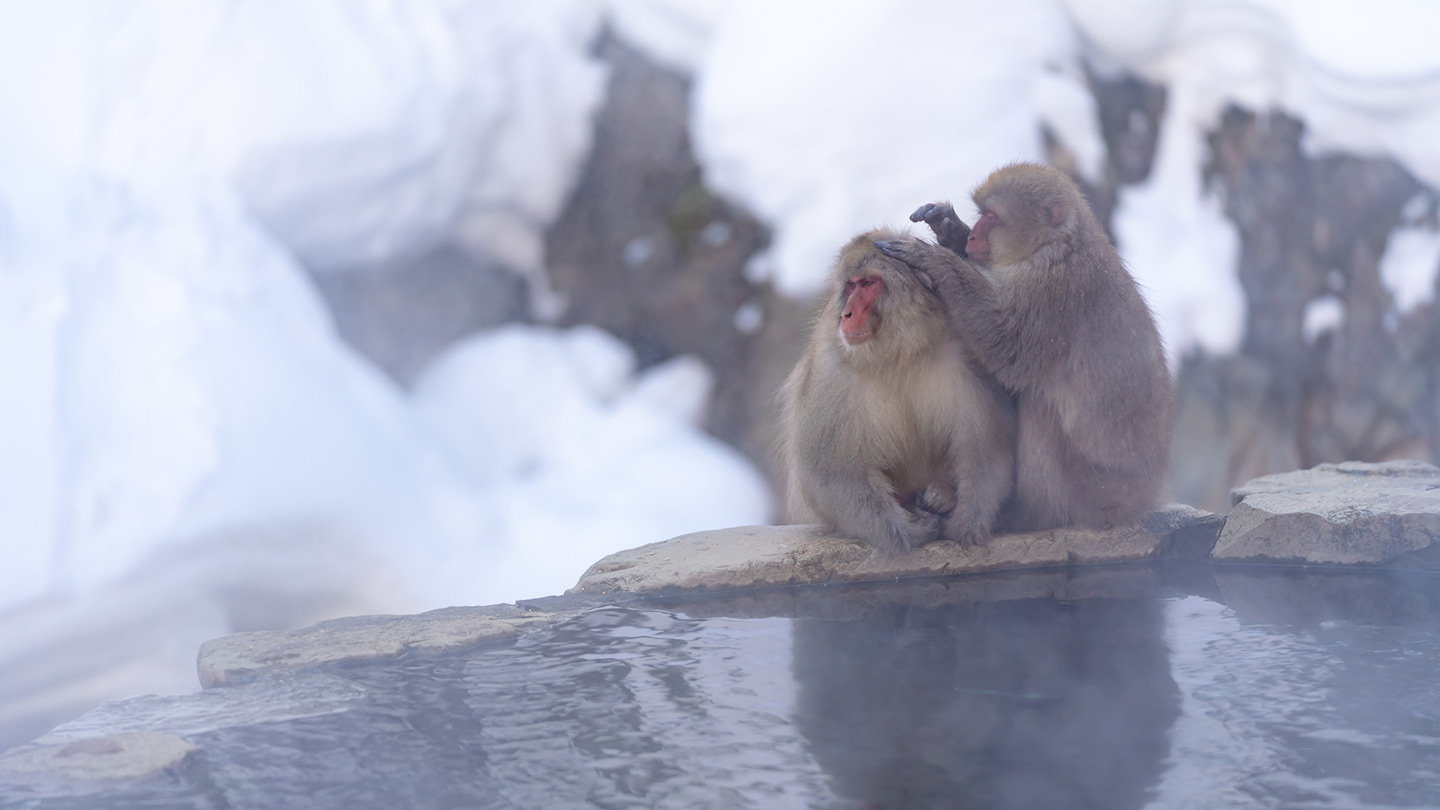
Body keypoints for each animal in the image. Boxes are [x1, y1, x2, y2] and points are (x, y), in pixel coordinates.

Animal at [778, 229, 1016, 553]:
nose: (847, 314)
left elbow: (985, 449)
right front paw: (903, 533)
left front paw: (965, 523)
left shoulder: (967, 355)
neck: (897, 353)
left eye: (868, 283)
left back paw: (940, 496)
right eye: (851, 285)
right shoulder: (831, 370)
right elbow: (832, 471)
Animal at [876, 162, 1172, 532]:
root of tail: (1143, 499)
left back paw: (1020, 514)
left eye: (992, 217)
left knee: (1038, 402)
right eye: (981, 215)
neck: (1055, 246)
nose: (973, 237)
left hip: (1094, 492)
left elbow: (1008, 347)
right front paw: (949, 228)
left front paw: (935, 259)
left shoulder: (1052, 290)